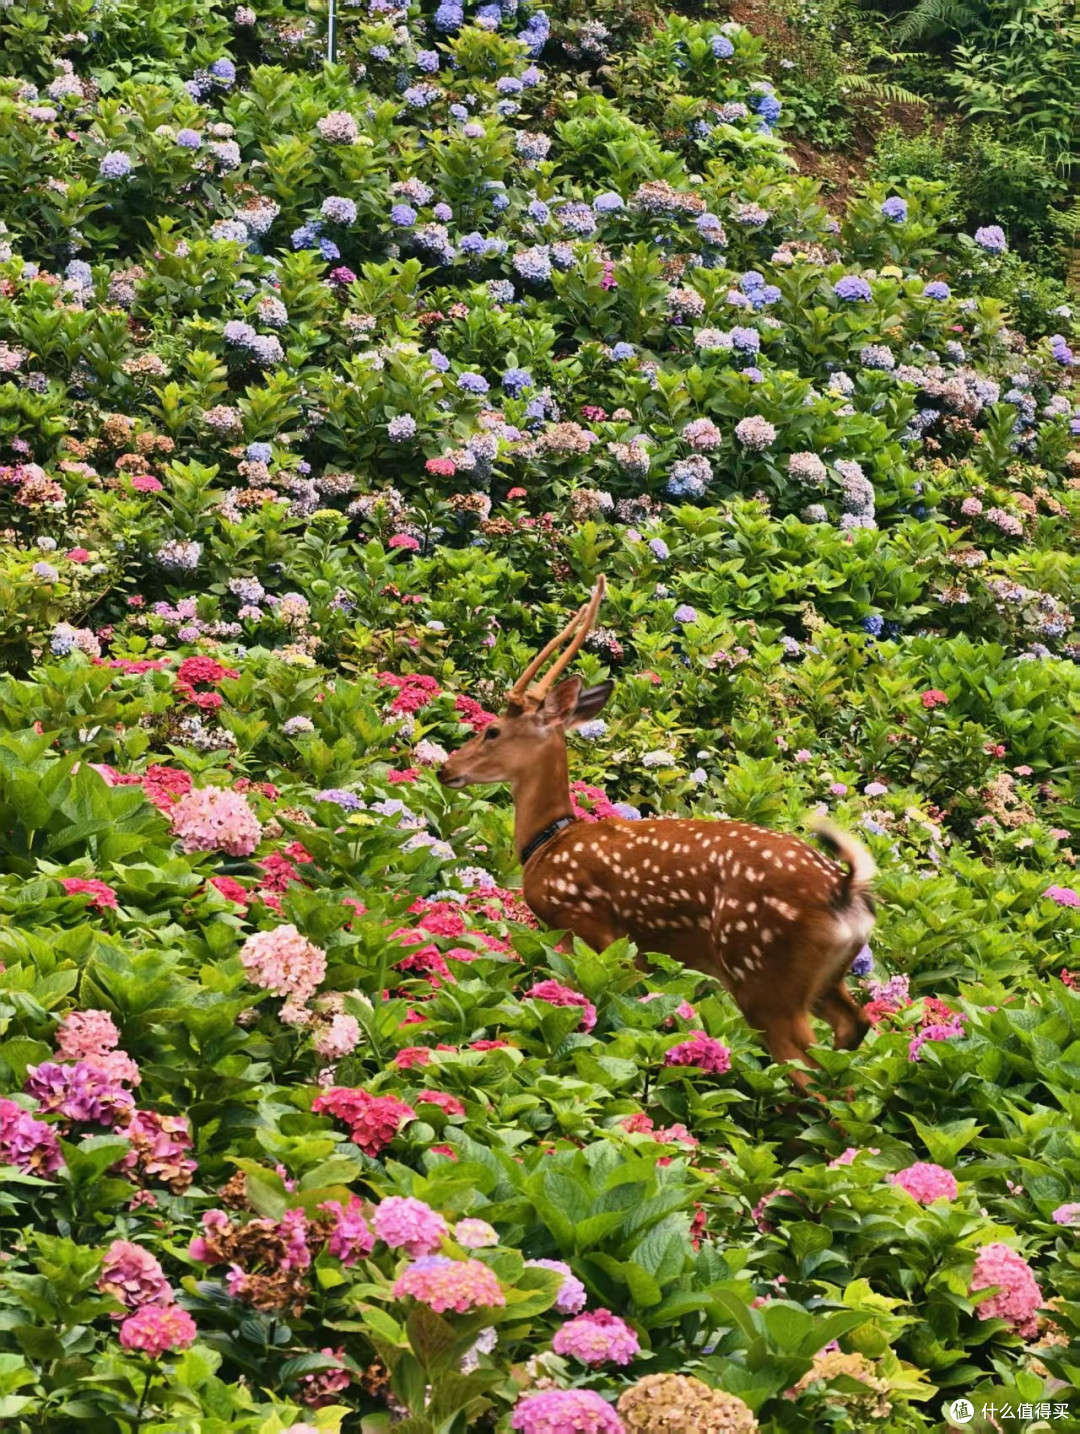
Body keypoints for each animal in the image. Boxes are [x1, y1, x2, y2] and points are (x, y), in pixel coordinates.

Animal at [438, 576, 877, 1093]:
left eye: (492, 731)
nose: (446, 768)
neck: (551, 841)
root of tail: (845, 888)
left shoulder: (590, 927)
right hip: (823, 981)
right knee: (853, 1032)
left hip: (763, 974)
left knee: (811, 1073)